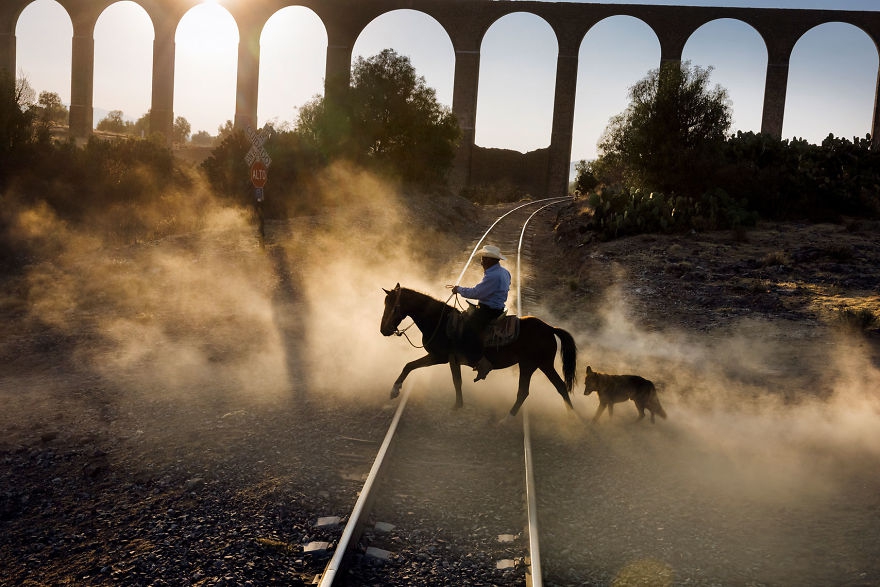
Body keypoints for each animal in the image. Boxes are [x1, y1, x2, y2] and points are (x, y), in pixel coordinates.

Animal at [380, 284, 576, 418]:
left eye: (393, 307)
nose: (384, 330)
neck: (440, 322)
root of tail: (549, 328)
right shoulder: (438, 357)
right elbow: (409, 365)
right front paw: (394, 390)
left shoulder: (444, 357)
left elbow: (456, 381)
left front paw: (457, 406)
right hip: (536, 365)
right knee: (554, 387)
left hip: (533, 365)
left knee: (530, 391)